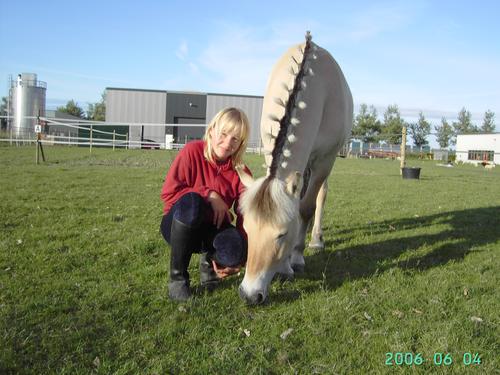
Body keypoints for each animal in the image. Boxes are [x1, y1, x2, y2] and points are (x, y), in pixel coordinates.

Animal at [236, 33, 354, 306]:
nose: (249, 294)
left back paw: (315, 239)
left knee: (319, 195)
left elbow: (307, 207)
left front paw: (295, 259)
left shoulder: (325, 159)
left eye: (281, 234)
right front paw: (287, 263)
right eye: (246, 229)